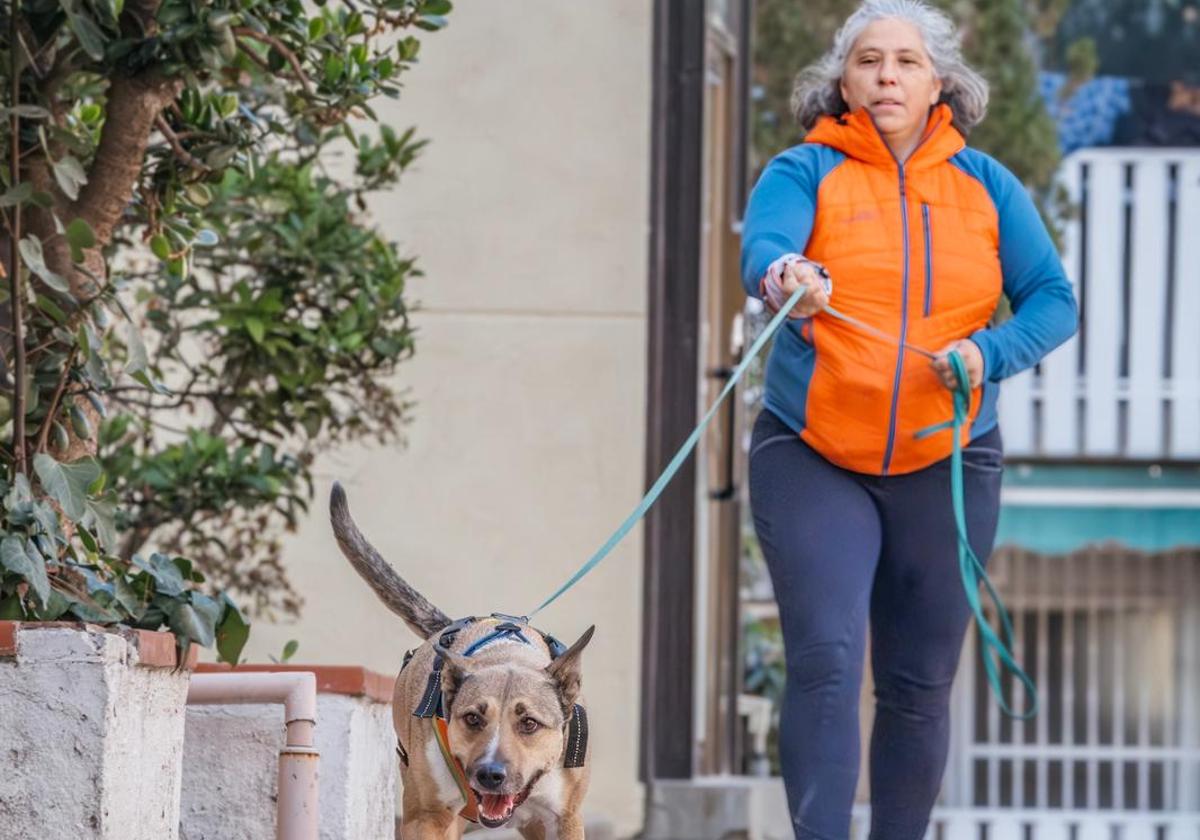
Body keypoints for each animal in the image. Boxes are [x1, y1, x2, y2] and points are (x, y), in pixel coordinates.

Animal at [331, 484, 592, 840]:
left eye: (529, 723)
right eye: (472, 718)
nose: (490, 774)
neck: (506, 654)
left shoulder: (564, 818)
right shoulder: (427, 817)